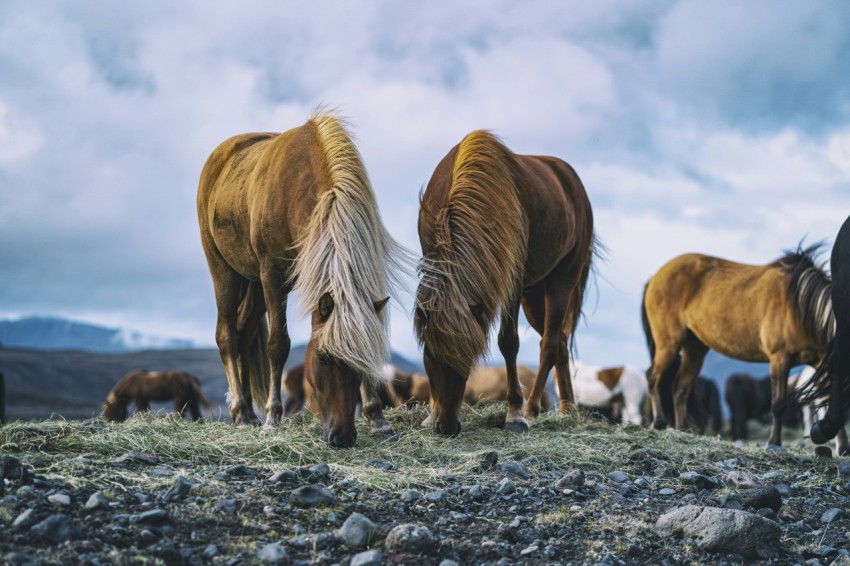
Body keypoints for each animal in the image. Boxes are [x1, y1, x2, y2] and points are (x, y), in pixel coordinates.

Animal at [197, 110, 406, 448]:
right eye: (321, 358)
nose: (342, 436)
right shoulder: (272, 276)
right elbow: (278, 345)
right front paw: (272, 418)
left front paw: (378, 419)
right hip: (225, 271)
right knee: (228, 335)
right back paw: (241, 412)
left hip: (253, 284)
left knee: (244, 334)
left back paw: (248, 412)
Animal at [414, 131, 592, 438]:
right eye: (430, 357)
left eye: (469, 358)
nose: (447, 426)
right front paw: (430, 414)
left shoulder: (512, 282)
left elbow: (508, 342)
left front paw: (515, 414)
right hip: (534, 295)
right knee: (560, 340)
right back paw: (568, 408)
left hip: (561, 282)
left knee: (549, 342)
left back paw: (532, 408)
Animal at [644, 246, 828, 450]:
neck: (801, 306)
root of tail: (655, 277)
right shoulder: (780, 358)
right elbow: (779, 404)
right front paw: (774, 442)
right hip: (668, 343)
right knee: (653, 377)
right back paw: (659, 423)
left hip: (694, 349)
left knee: (680, 388)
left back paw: (683, 429)